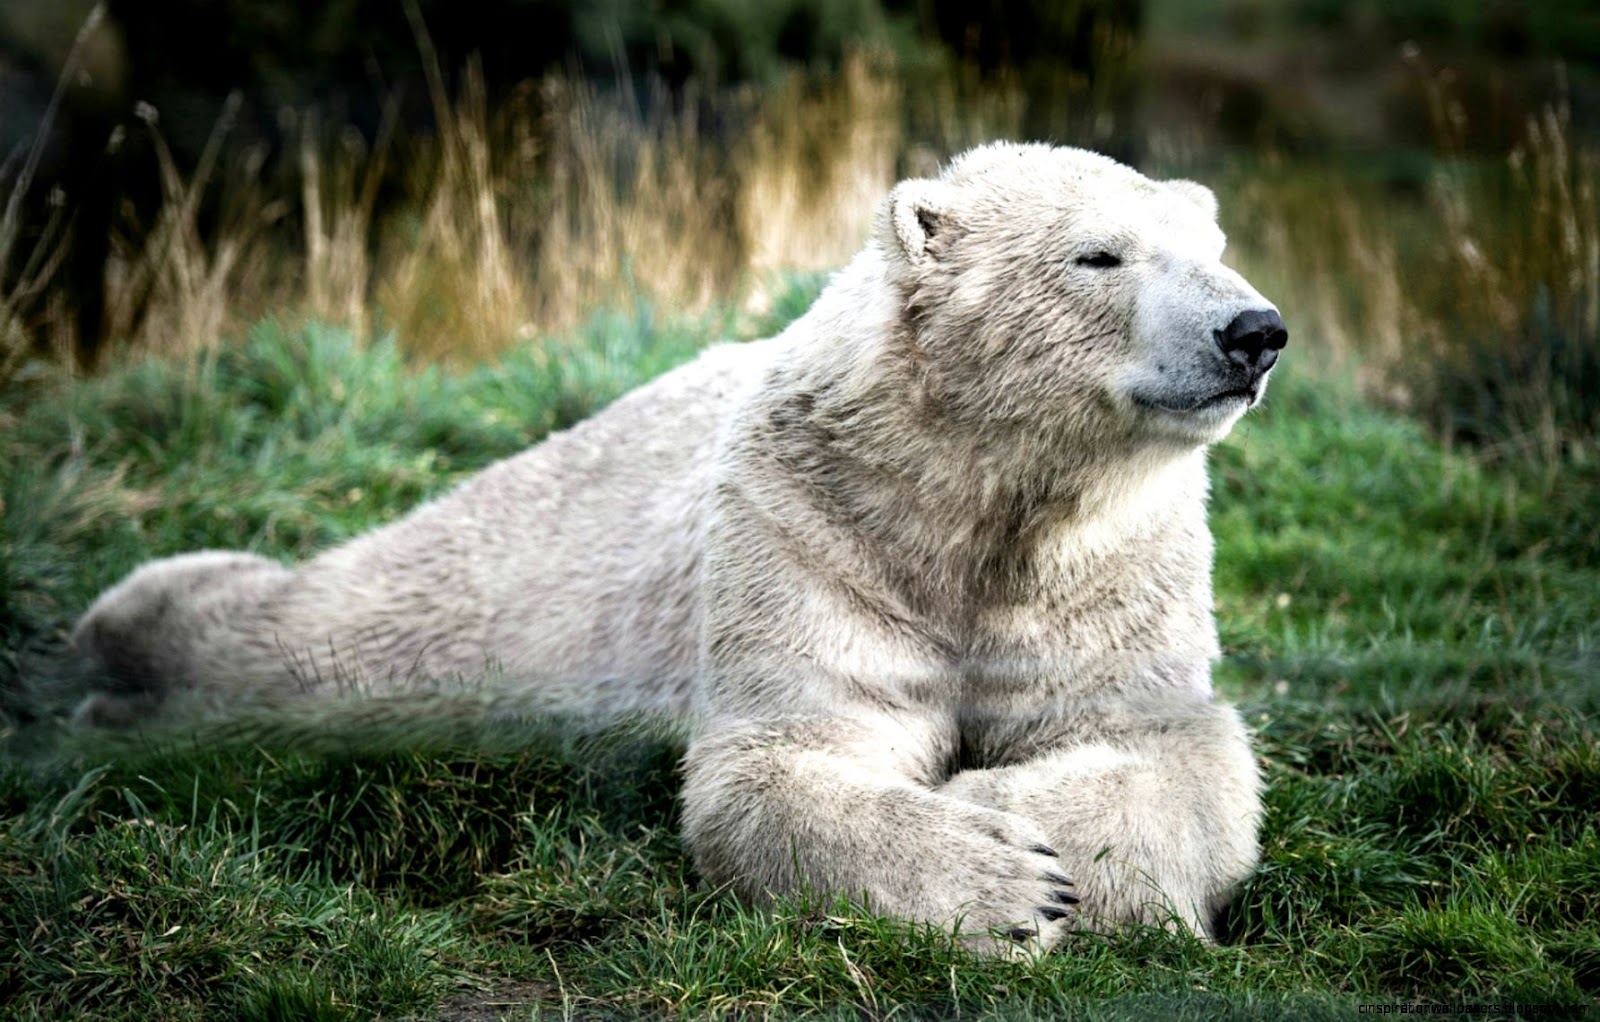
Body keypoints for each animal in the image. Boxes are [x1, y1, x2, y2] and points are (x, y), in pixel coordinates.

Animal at [71, 142, 1286, 951]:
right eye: (1101, 256)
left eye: (1215, 248)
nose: (1255, 330)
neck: (970, 490)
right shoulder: (813, 527)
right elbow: (779, 757)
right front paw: (1004, 880)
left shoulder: (1109, 566)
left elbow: (1172, 748)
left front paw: (1015, 813)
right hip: (518, 569)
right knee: (344, 633)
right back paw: (132, 632)